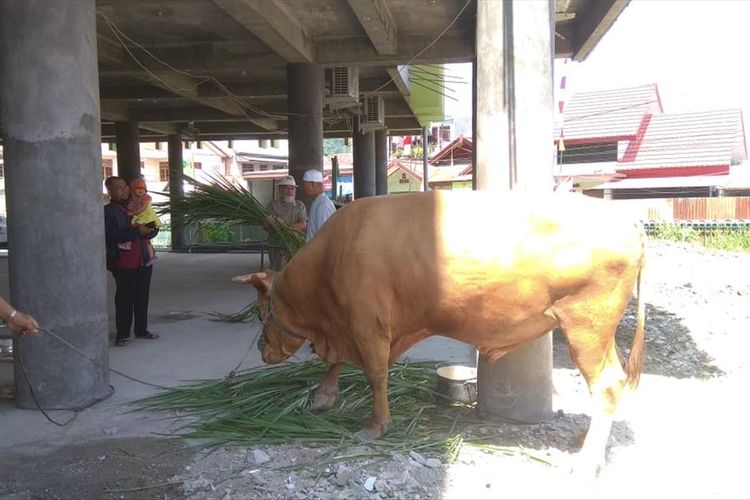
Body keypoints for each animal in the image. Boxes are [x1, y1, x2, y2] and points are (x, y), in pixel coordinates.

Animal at [235, 189, 648, 474]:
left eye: (262, 312)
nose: (261, 351)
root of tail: (626, 222)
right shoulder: (367, 328)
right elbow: (344, 365)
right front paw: (323, 396)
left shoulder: (367, 323)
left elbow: (374, 373)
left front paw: (375, 425)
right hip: (600, 331)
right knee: (612, 381)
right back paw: (585, 439)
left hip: (586, 324)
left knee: (607, 384)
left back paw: (588, 458)